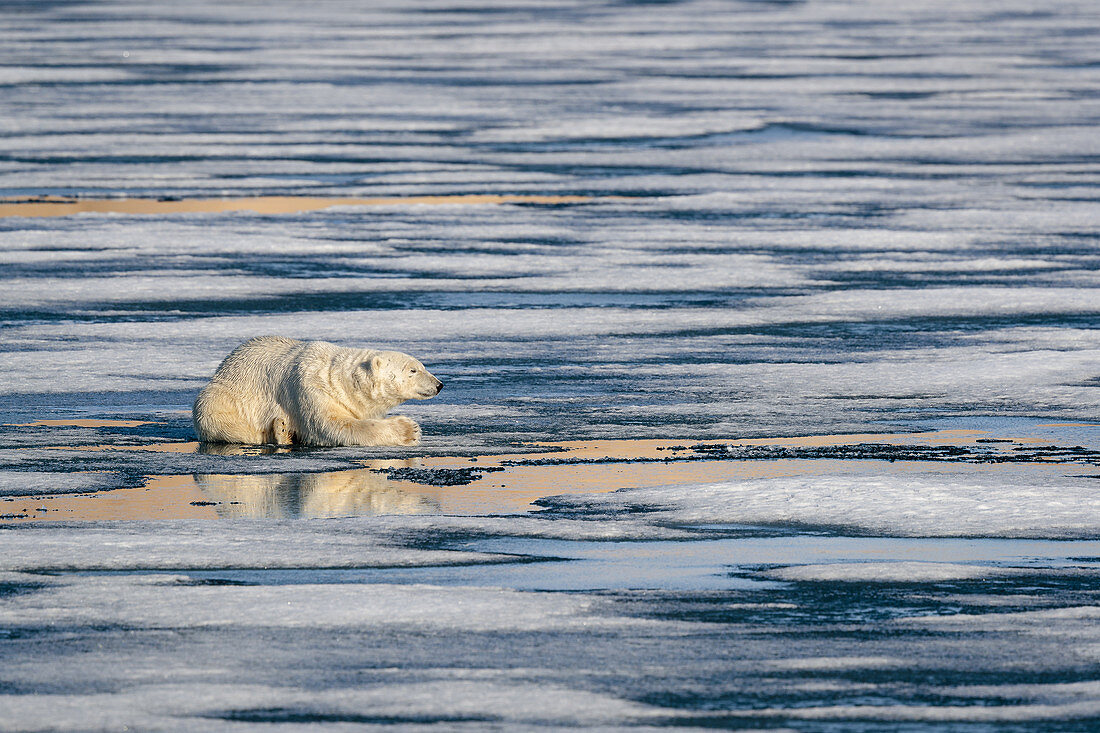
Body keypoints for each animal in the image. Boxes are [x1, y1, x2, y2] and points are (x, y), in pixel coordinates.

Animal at [193, 334, 442, 444]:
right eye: (413, 370)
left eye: (422, 366)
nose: (439, 384)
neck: (340, 380)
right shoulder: (311, 389)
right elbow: (332, 426)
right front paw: (409, 429)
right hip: (223, 397)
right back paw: (279, 431)